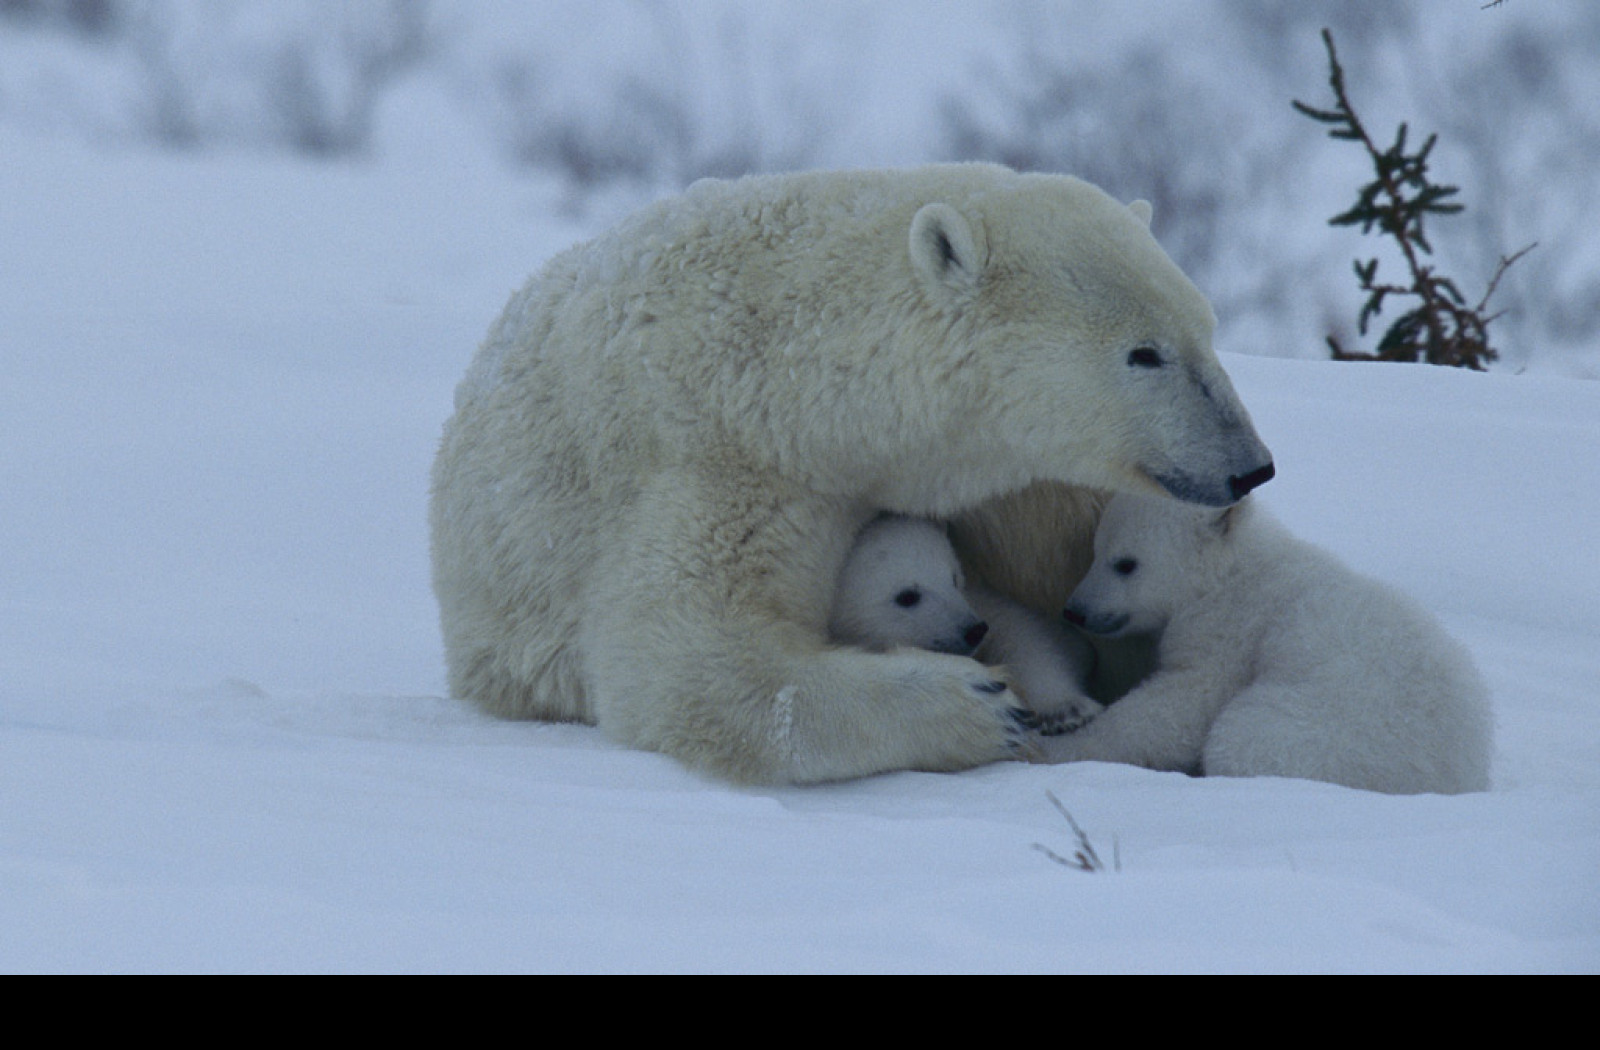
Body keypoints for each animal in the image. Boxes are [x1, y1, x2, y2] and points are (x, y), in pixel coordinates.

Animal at [832, 515, 1107, 729]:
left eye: (954, 577)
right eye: (907, 596)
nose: (974, 630)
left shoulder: (980, 602)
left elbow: (1024, 636)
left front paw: (1066, 710)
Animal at [1043, 496, 1491, 790]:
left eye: (1125, 563)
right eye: (1095, 549)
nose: (1075, 610)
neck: (1233, 570)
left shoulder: (1231, 626)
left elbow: (1183, 704)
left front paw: (1061, 746)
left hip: (1333, 733)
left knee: (1240, 739)